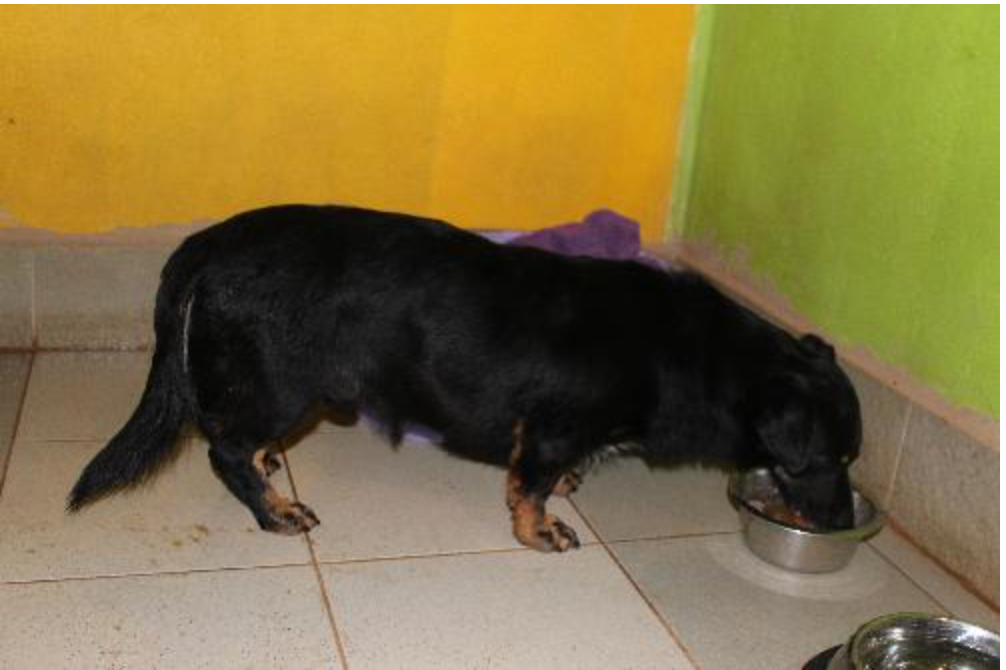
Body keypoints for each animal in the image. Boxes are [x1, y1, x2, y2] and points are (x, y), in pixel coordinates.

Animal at [68, 204, 861, 551]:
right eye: (824, 458)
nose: (841, 524)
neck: (690, 350)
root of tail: (208, 242)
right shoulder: (550, 430)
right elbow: (531, 489)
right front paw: (541, 530)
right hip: (282, 385)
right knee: (222, 449)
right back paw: (275, 511)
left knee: (242, 442)